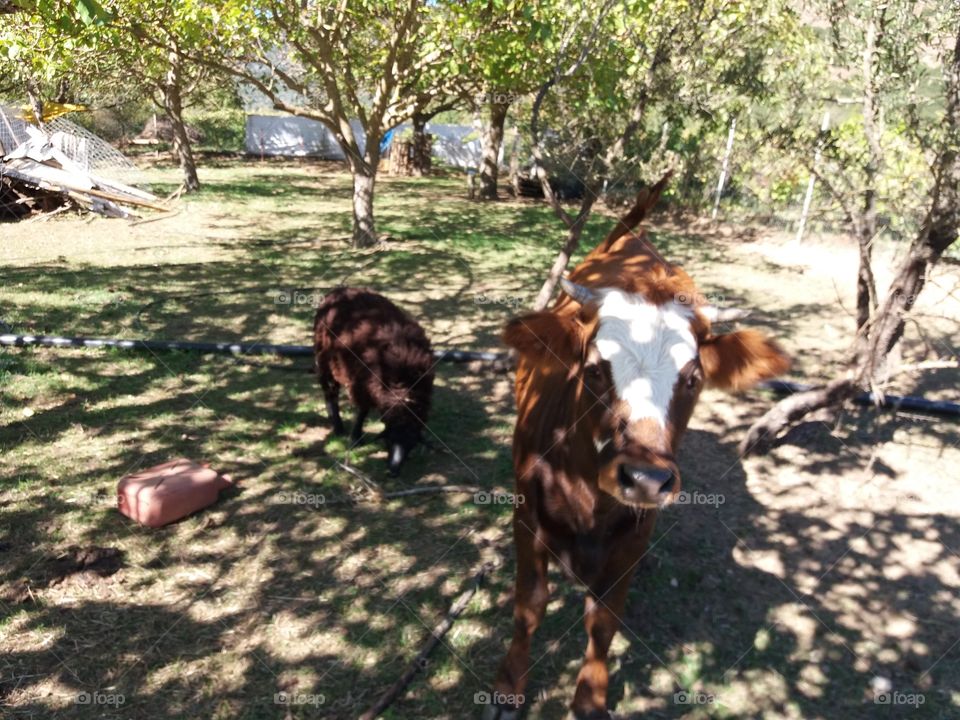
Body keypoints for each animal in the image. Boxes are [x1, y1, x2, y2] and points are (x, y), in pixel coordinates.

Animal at [313, 287, 434, 475]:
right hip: (325, 360)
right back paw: (337, 425)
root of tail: (339, 289)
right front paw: (355, 438)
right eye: (389, 439)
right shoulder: (362, 384)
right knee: (329, 390)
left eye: (411, 445)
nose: (393, 471)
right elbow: (362, 411)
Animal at [483, 174, 790, 719]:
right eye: (593, 369)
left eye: (693, 379)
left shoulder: (636, 531)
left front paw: (589, 699)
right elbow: (529, 603)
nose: (644, 478)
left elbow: (604, 619)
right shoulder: (527, 512)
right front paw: (508, 686)